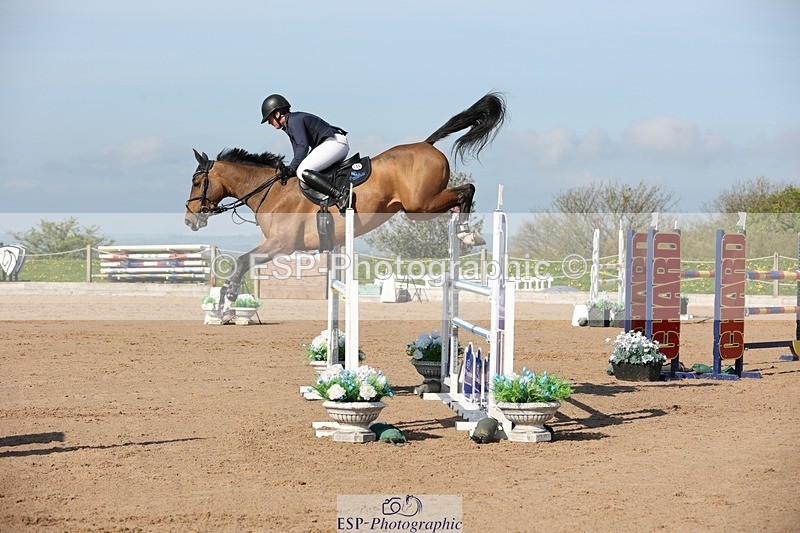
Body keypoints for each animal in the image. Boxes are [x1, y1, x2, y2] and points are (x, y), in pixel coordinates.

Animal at [184, 92, 506, 309]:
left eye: (197, 182)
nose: (189, 220)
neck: (271, 192)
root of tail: (426, 144)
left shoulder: (281, 245)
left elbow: (242, 260)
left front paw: (228, 297)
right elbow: (243, 260)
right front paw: (225, 298)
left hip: (420, 205)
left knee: (467, 189)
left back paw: (466, 233)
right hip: (420, 207)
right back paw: (464, 229)